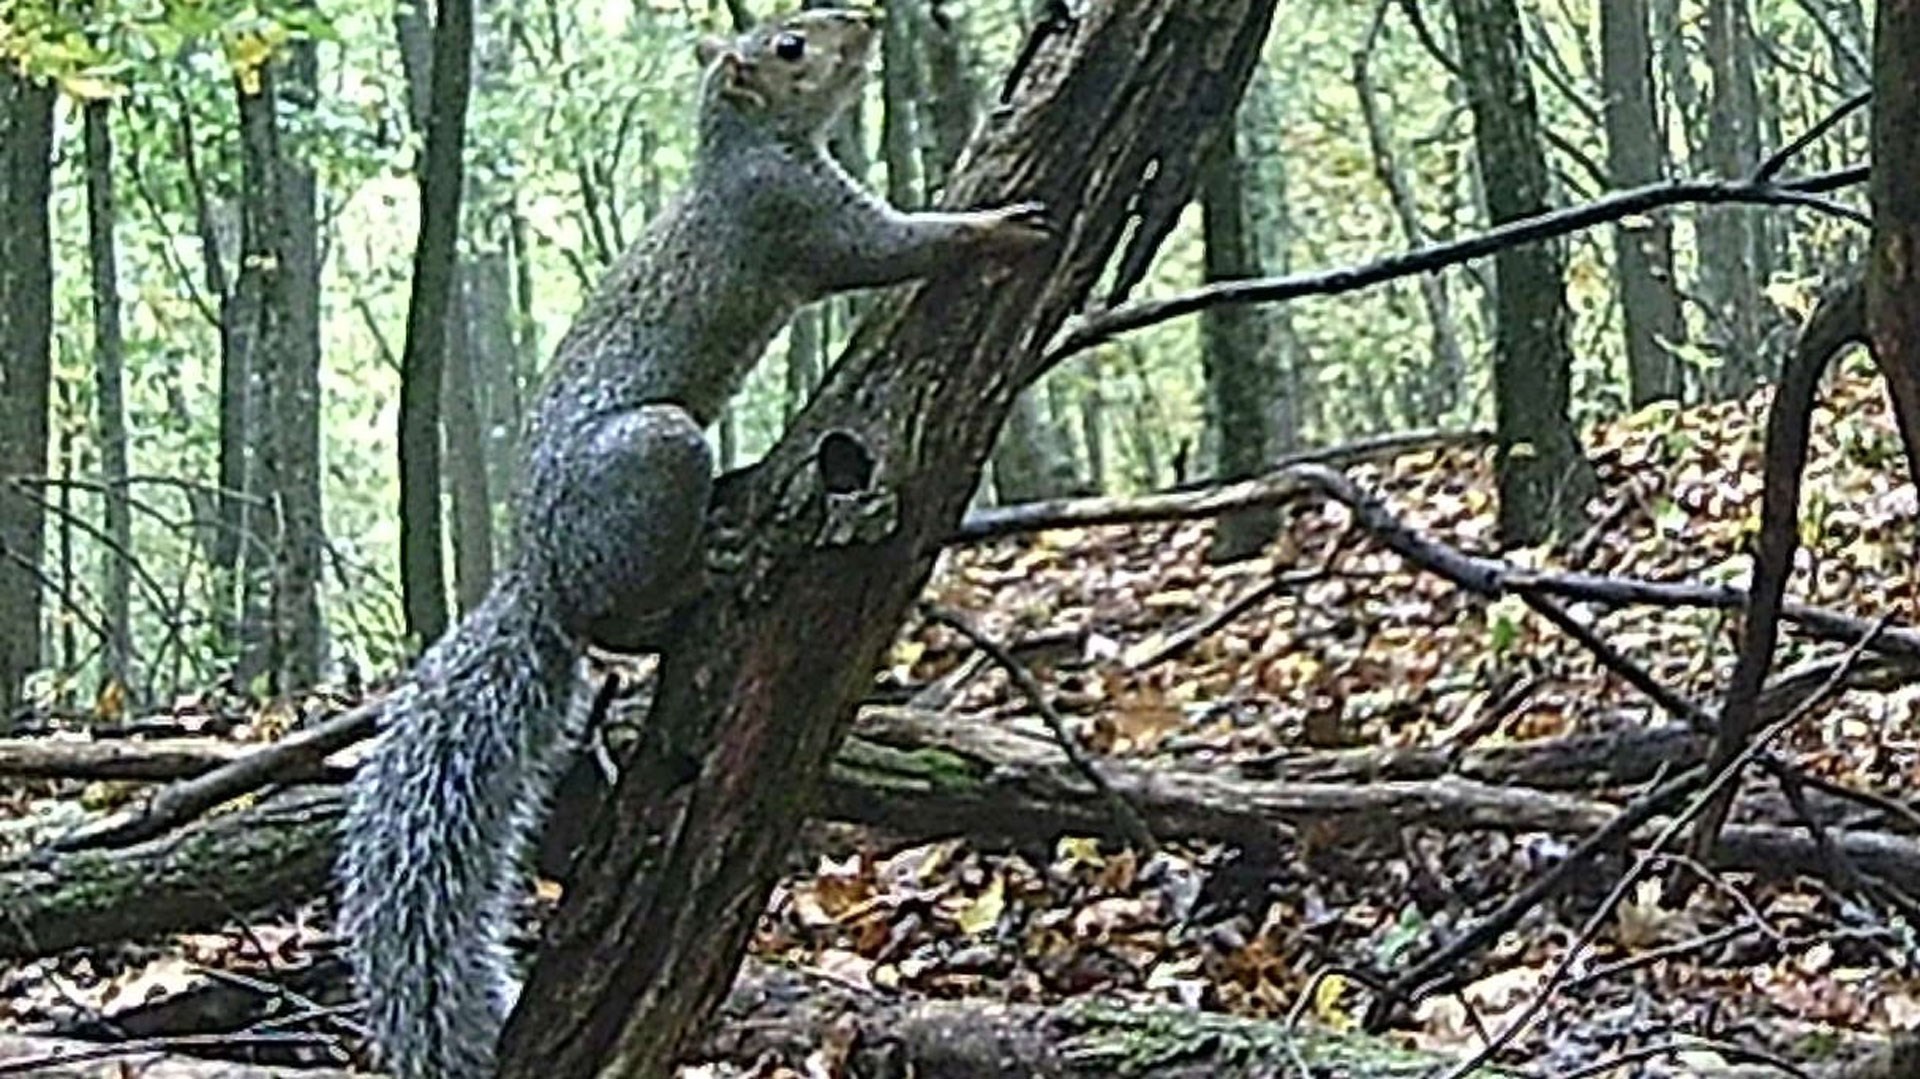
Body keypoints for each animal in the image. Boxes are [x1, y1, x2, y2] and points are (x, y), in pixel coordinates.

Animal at [334, 8, 1052, 1075]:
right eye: (791, 47)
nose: (865, 22)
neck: (744, 146)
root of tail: (540, 573)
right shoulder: (796, 215)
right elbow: (888, 247)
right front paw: (995, 228)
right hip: (655, 454)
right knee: (618, 618)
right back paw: (697, 569)